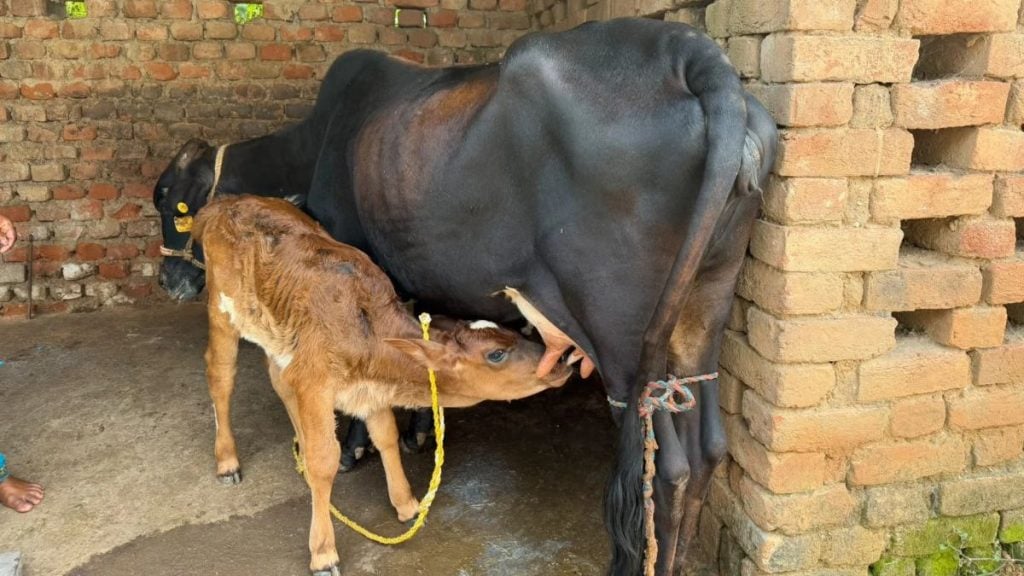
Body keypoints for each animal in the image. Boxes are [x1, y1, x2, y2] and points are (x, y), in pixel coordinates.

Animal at [194, 195, 571, 574]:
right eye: (496, 354)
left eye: (512, 333)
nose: (561, 359)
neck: (370, 334)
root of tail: (226, 201)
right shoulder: (315, 379)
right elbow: (324, 460)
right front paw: (323, 552)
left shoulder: (364, 387)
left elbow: (387, 435)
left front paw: (407, 505)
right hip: (221, 309)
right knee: (220, 375)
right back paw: (228, 461)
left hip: (278, 336)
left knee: (279, 379)